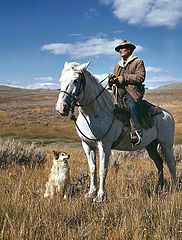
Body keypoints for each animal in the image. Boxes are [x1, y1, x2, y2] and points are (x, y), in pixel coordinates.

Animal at [55, 61, 176, 201]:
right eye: (60, 80)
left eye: (75, 80)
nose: (61, 108)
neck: (94, 113)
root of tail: (167, 114)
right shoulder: (87, 145)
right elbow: (92, 169)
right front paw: (90, 194)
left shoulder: (104, 146)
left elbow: (103, 169)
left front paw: (100, 196)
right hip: (151, 145)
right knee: (159, 163)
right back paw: (159, 188)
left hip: (166, 144)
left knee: (171, 164)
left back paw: (174, 188)